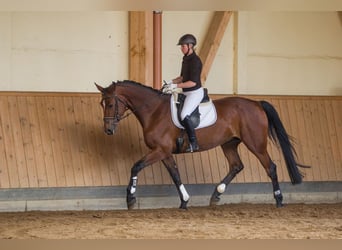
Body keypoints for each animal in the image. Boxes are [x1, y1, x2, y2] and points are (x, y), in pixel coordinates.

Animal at [95, 80, 308, 209]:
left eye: (111, 104)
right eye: (101, 104)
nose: (108, 130)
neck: (154, 111)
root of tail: (256, 104)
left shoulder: (159, 151)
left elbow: (136, 166)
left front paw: (130, 199)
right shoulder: (165, 153)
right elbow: (175, 175)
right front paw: (184, 202)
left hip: (255, 144)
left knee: (270, 167)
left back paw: (279, 199)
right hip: (229, 144)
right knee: (236, 165)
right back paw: (216, 195)